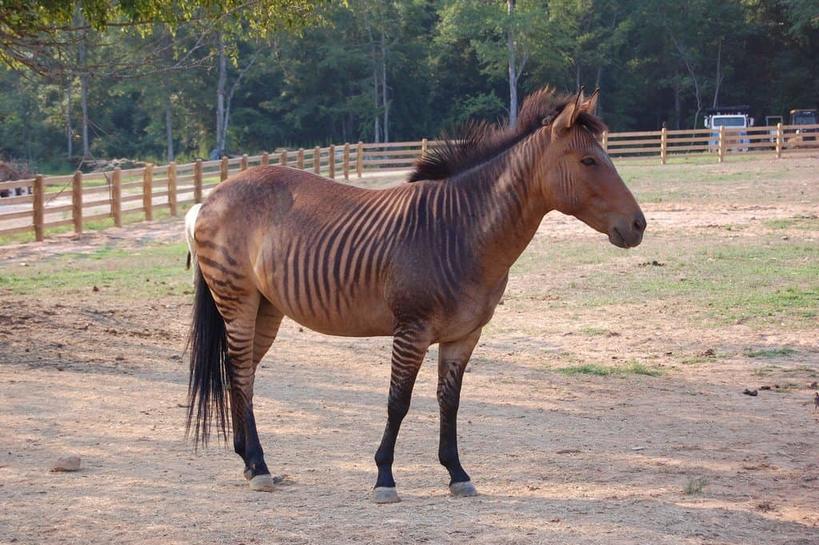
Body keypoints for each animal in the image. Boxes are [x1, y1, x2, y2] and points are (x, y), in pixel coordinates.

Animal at [187, 88, 648, 502]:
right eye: (589, 161)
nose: (639, 225)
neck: (458, 232)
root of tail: (210, 198)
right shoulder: (411, 330)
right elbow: (399, 402)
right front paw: (384, 478)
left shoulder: (464, 335)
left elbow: (450, 402)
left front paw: (457, 474)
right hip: (238, 301)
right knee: (240, 373)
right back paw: (260, 467)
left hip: (267, 307)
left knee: (242, 374)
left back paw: (250, 463)